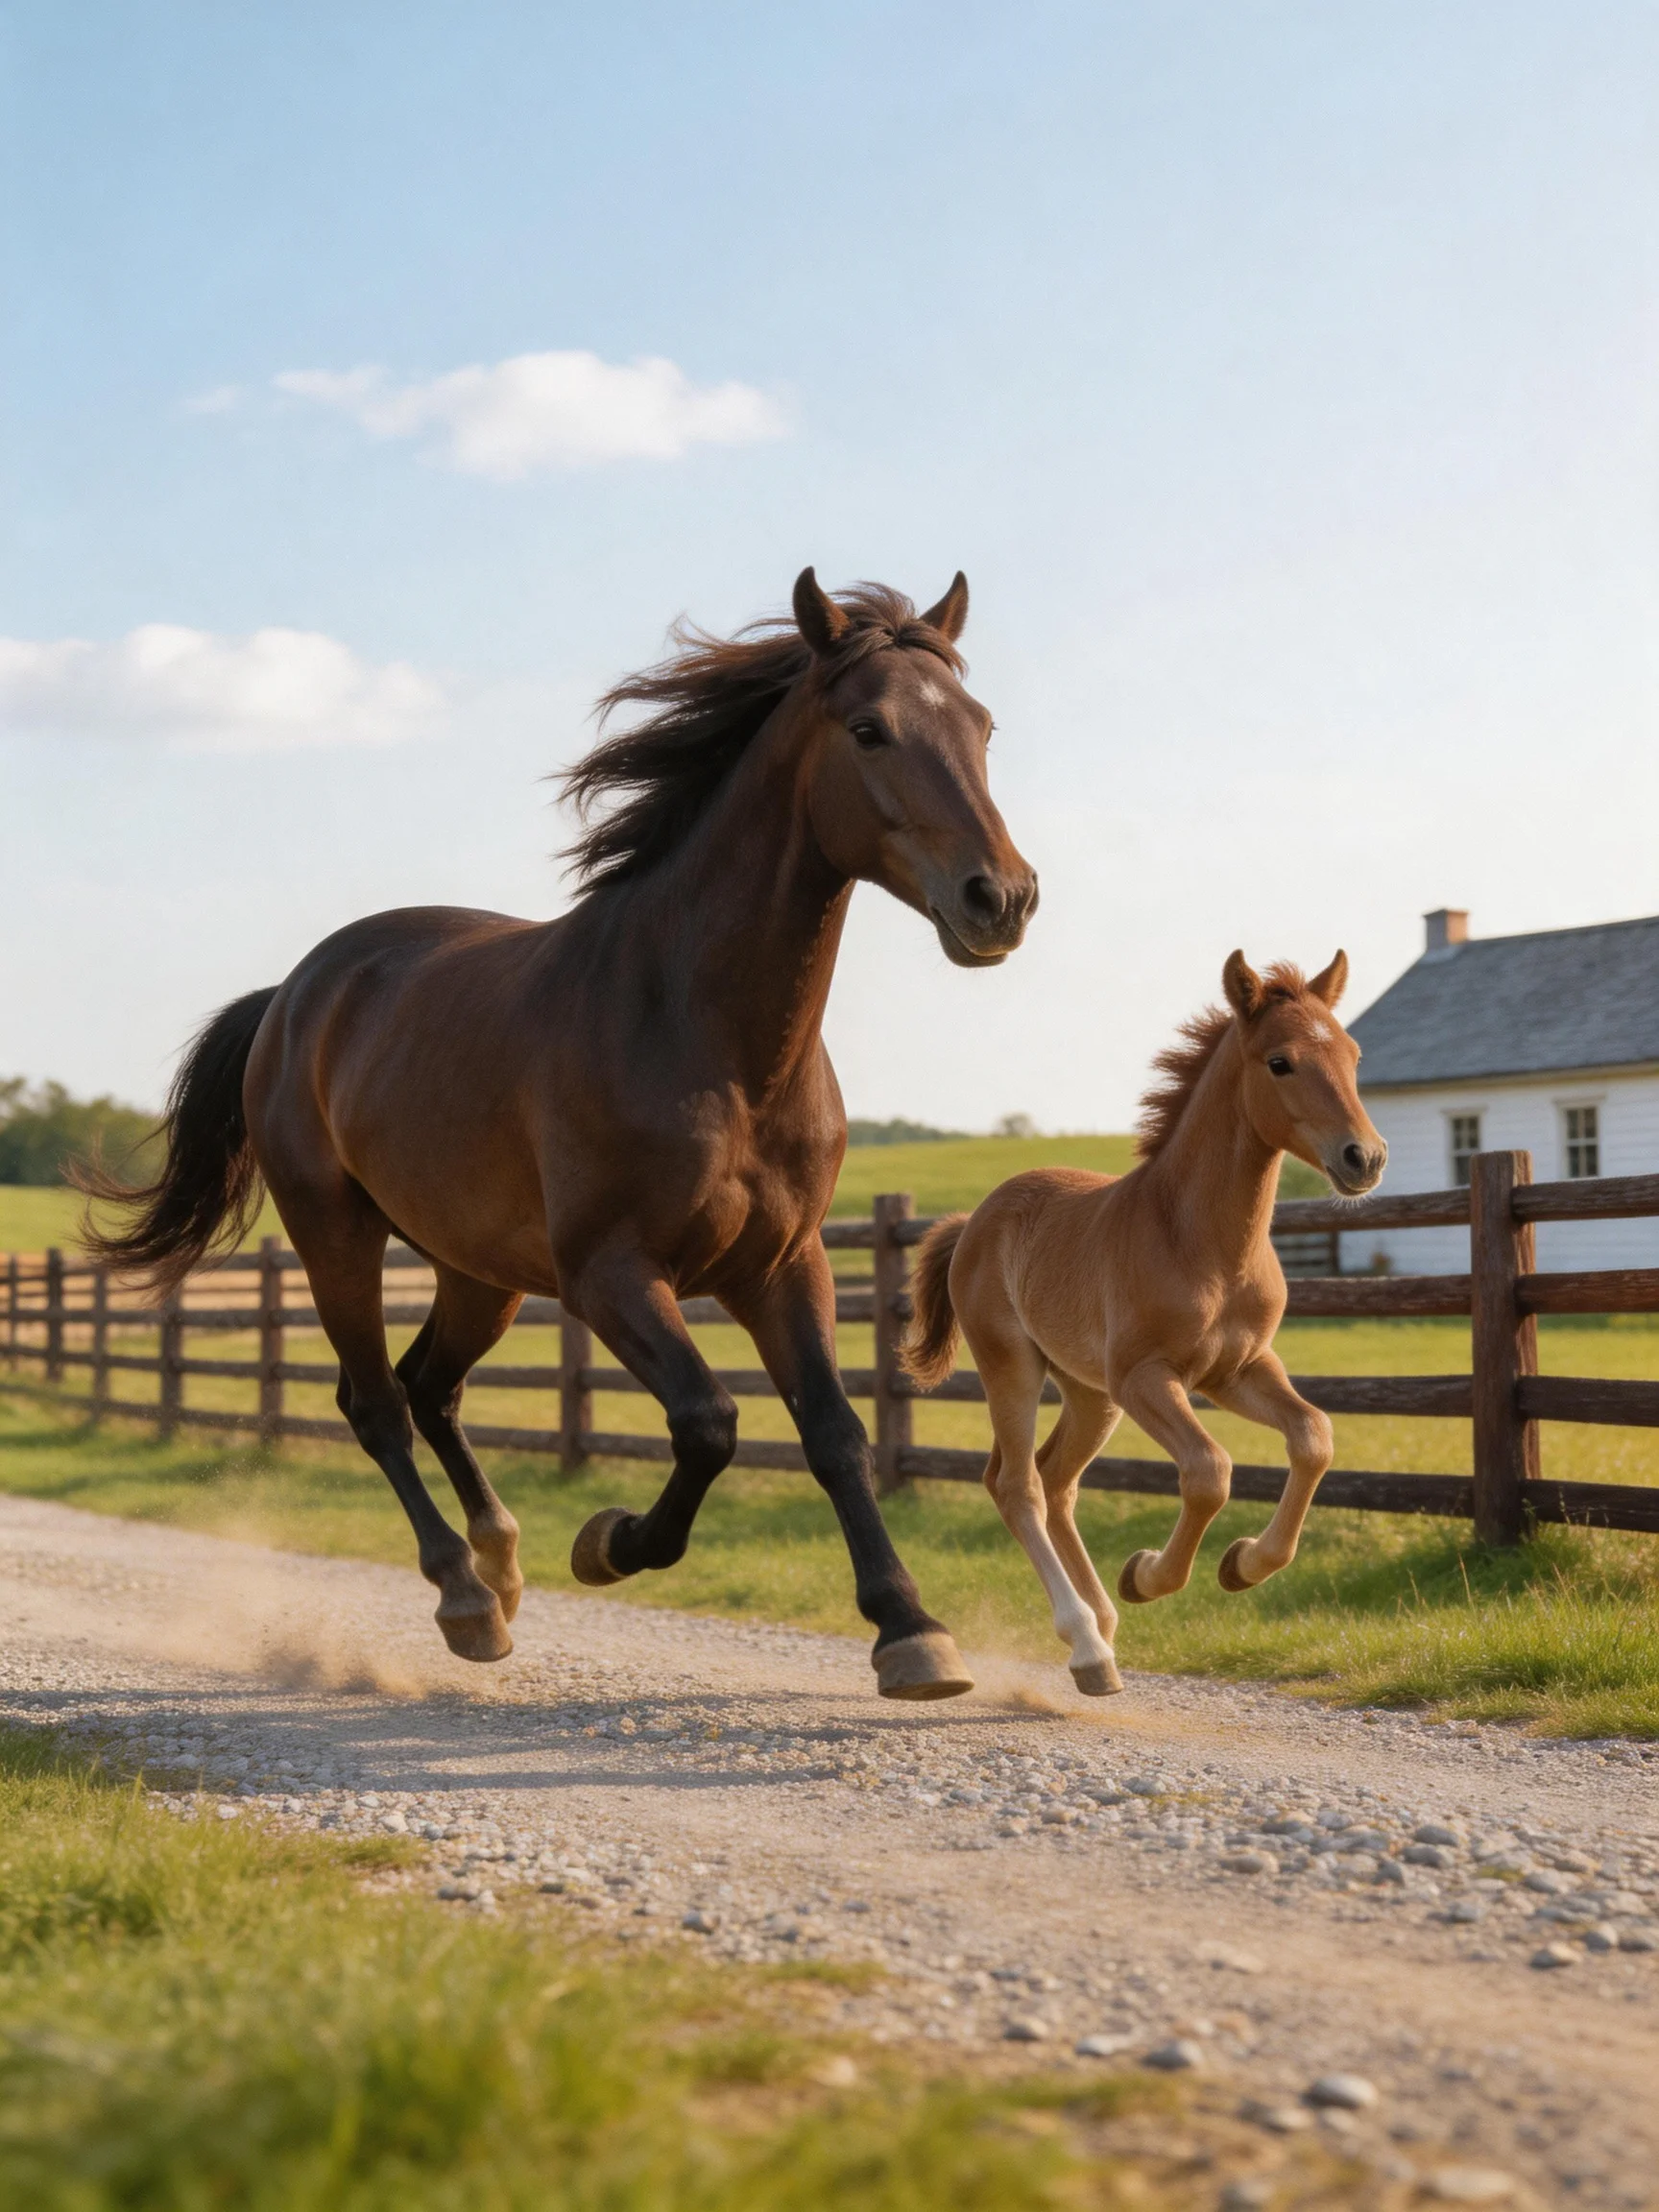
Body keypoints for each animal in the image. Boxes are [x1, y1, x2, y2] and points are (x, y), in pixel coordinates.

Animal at [84, 570, 1037, 1700]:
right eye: (868, 729)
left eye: (982, 725)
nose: (1001, 899)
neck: (703, 1036)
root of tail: (293, 996)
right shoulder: (610, 1274)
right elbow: (709, 1423)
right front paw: (610, 1544)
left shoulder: (782, 1264)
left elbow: (836, 1434)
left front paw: (910, 1630)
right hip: (335, 1238)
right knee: (377, 1402)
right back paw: (463, 1597)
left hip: (477, 1270)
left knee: (432, 1386)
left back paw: (500, 1564)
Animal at [899, 951, 1385, 1697]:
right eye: (1279, 1062)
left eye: (1354, 1055)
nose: (1365, 1157)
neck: (1201, 1241)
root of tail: (974, 1220)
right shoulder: (1146, 1378)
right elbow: (1209, 1470)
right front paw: (1152, 1574)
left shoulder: (1239, 1370)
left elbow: (1313, 1436)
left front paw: (1243, 1563)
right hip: (1015, 1366)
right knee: (1018, 1485)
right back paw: (1087, 1648)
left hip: (1089, 1392)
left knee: (1056, 1480)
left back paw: (1102, 1622)